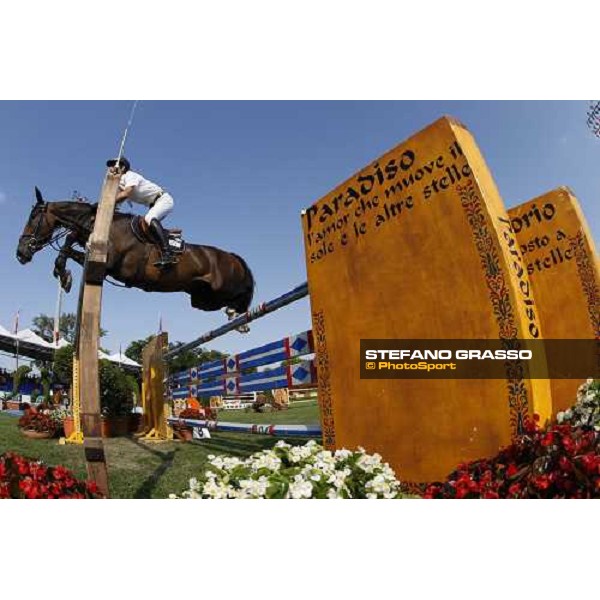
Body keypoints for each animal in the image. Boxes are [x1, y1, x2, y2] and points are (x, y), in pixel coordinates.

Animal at [15, 190, 255, 316]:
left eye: (33, 218)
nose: (20, 253)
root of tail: (233, 256)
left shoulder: (110, 265)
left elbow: (70, 245)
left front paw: (63, 273)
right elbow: (68, 246)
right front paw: (63, 275)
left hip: (224, 286)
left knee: (243, 293)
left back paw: (237, 314)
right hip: (201, 298)